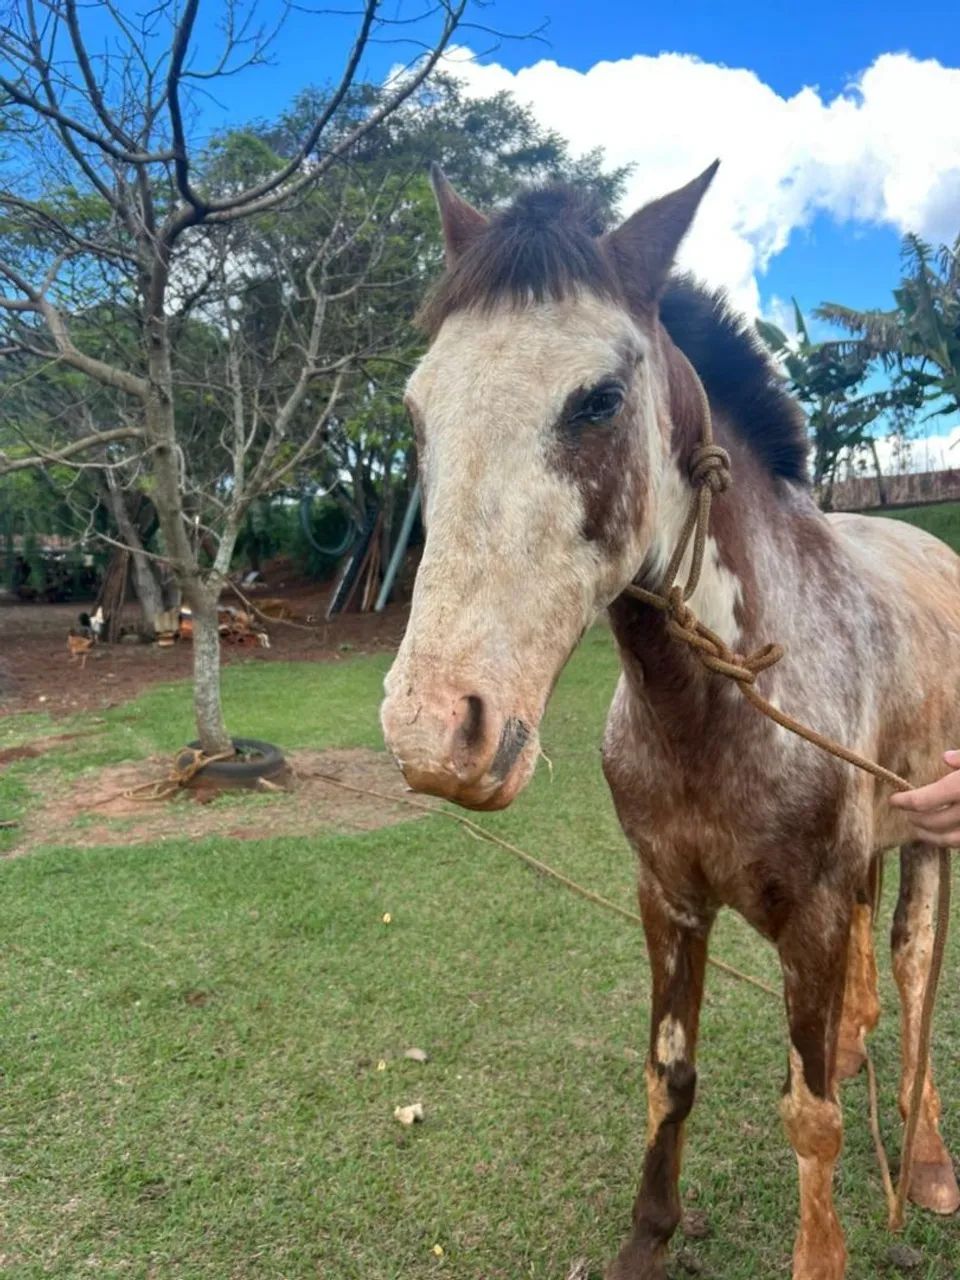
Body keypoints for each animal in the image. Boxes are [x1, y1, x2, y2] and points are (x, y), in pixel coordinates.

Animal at [379, 162, 960, 1279]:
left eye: (599, 400)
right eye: (419, 409)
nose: (435, 730)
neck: (710, 714)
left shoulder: (810, 916)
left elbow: (812, 1117)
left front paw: (822, 1250)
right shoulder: (667, 899)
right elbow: (669, 1074)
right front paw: (650, 1233)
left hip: (933, 837)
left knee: (916, 967)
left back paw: (926, 1161)